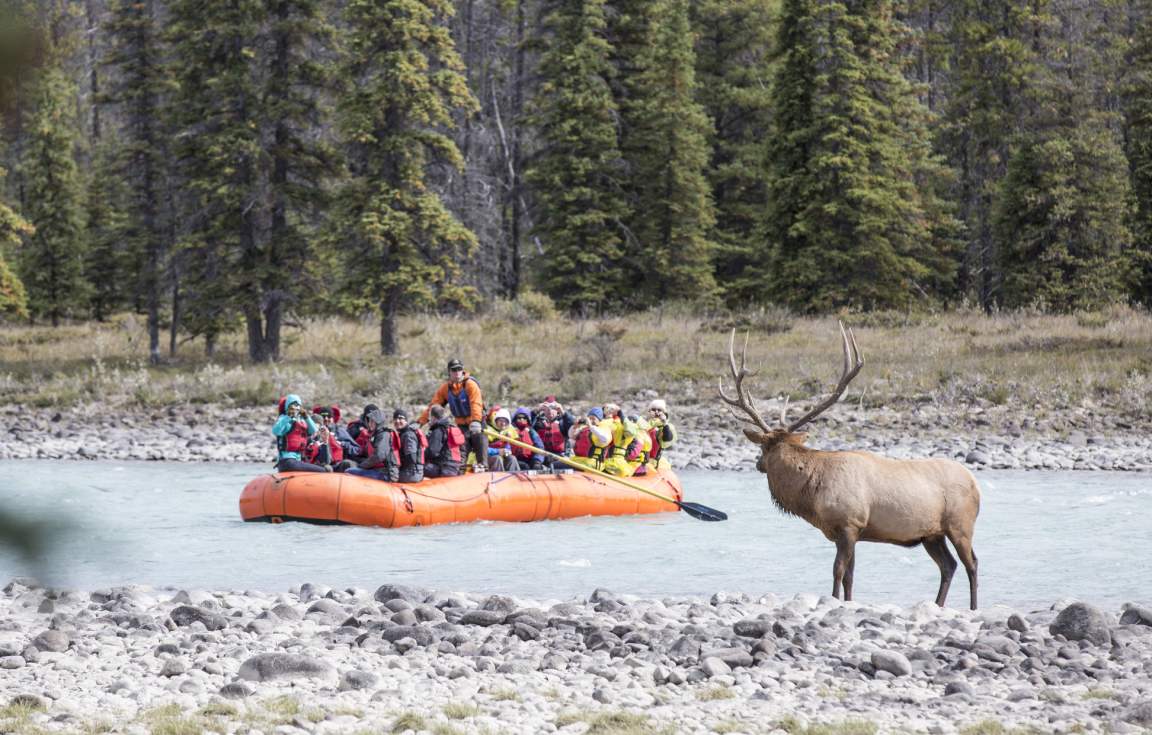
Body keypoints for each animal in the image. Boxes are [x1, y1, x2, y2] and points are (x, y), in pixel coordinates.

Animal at [718, 327, 981, 608]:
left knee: (971, 563)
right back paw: (938, 604)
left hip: (960, 524)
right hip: (932, 534)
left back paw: (973, 607)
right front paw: (847, 602)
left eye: (763, 448)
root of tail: (976, 486)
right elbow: (850, 577)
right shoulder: (850, 532)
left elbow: (838, 571)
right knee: (948, 565)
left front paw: (833, 599)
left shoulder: (849, 524)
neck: (812, 495)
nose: (758, 464)